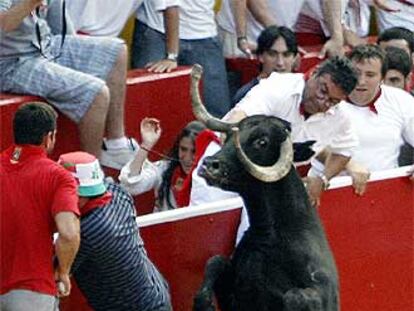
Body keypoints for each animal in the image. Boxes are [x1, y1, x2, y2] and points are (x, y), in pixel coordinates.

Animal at [192, 64, 340, 310]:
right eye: (229, 135)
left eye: (262, 142)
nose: (209, 165)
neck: (270, 237)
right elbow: (215, 262)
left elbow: (295, 296)